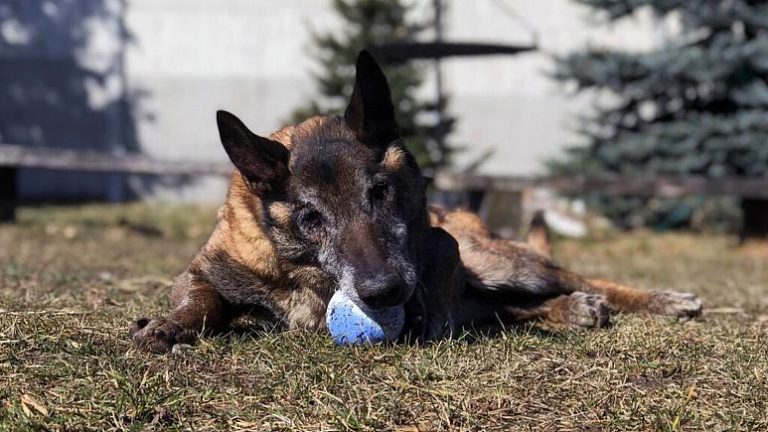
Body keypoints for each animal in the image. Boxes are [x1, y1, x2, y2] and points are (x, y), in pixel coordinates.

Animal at [127, 51, 704, 354]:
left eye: (380, 192)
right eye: (311, 217)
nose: (383, 292)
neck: (303, 268)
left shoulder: (442, 246)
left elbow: (440, 283)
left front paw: (431, 316)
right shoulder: (204, 271)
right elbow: (200, 302)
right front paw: (168, 325)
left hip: (500, 261)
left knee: (577, 279)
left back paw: (656, 300)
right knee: (513, 309)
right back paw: (569, 310)